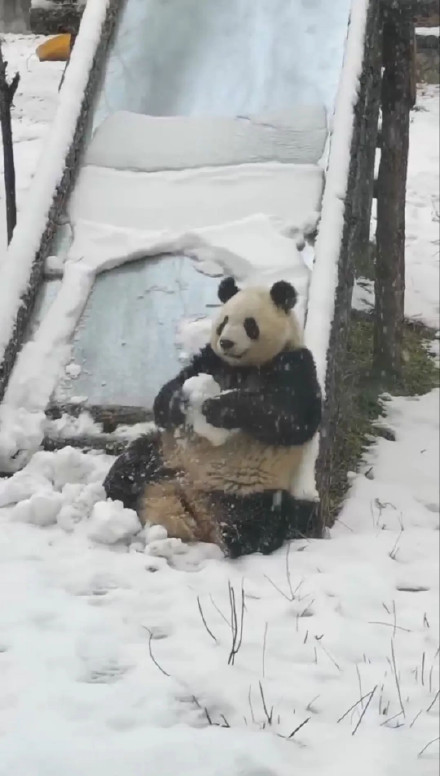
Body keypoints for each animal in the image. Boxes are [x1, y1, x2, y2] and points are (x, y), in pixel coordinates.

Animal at [104, 278, 324, 556]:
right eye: (223, 322)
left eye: (250, 325)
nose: (227, 342)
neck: (243, 366)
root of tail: (190, 497)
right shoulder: (211, 360)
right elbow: (170, 392)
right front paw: (180, 402)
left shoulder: (295, 364)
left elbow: (292, 417)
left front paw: (217, 408)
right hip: (166, 455)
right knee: (131, 464)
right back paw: (119, 498)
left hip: (250, 492)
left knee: (255, 524)